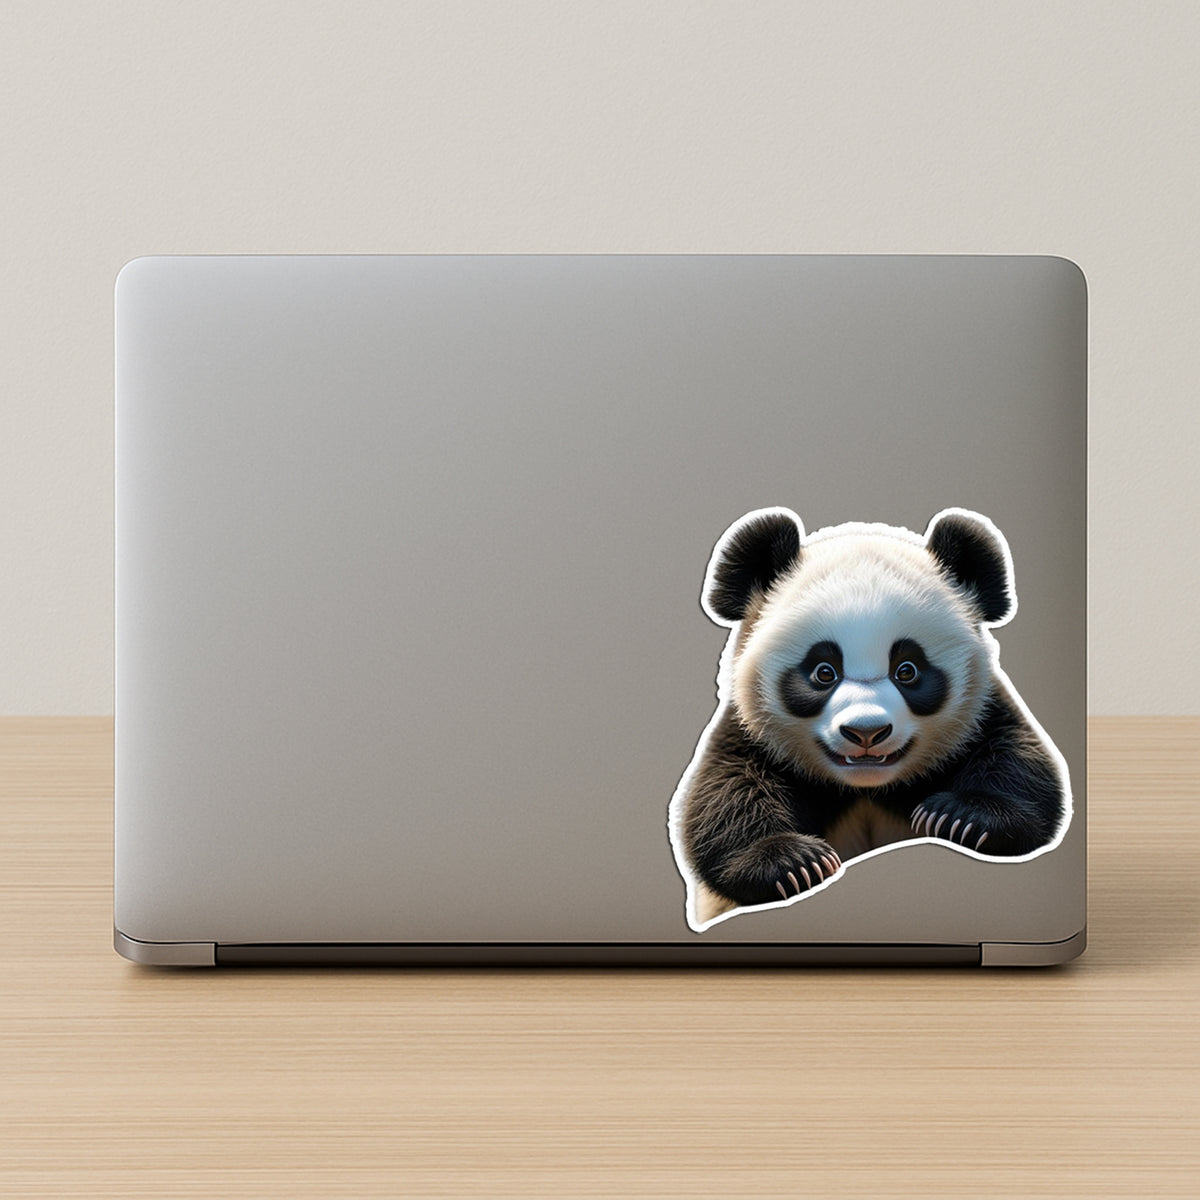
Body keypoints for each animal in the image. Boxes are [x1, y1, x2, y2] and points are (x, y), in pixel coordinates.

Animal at [669, 506, 1070, 930]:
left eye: (907, 670)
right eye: (823, 671)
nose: (866, 732)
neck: (866, 789)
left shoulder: (981, 715)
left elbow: (1020, 763)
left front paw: (960, 818)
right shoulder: (752, 733)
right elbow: (725, 796)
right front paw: (792, 863)